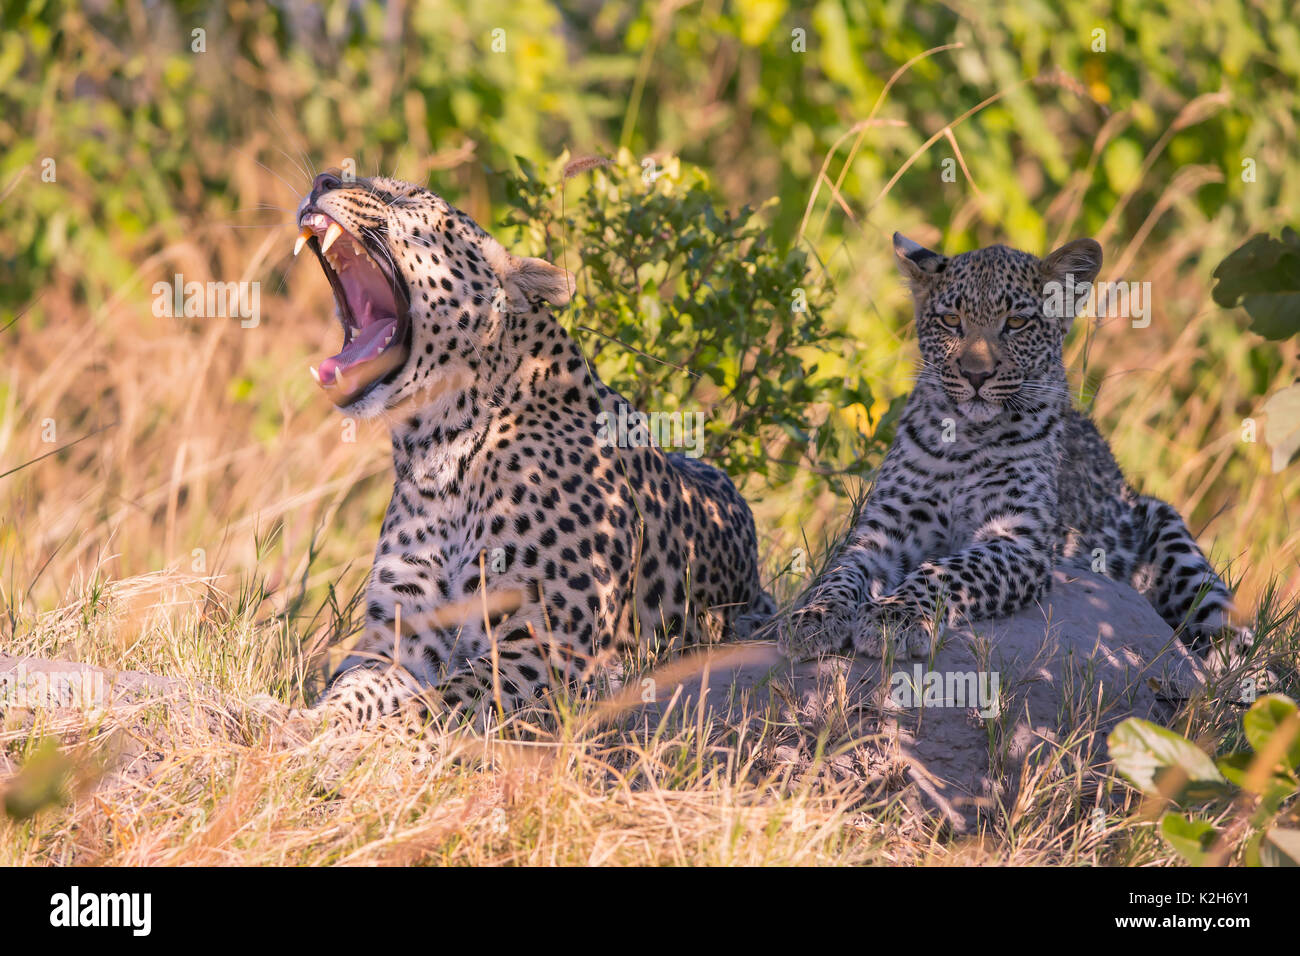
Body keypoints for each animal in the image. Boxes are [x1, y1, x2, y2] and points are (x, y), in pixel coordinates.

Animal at [290, 171, 773, 730]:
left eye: (403, 196)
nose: (322, 179)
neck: (438, 451)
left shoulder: (550, 643)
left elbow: (439, 706)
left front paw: (371, 739)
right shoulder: (402, 639)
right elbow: (352, 689)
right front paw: (301, 724)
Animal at [786, 232, 1251, 663]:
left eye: (1016, 323)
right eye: (951, 320)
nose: (975, 375)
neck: (966, 437)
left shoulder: (1018, 539)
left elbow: (945, 569)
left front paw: (893, 617)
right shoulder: (882, 530)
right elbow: (841, 572)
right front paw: (815, 617)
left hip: (1174, 539)